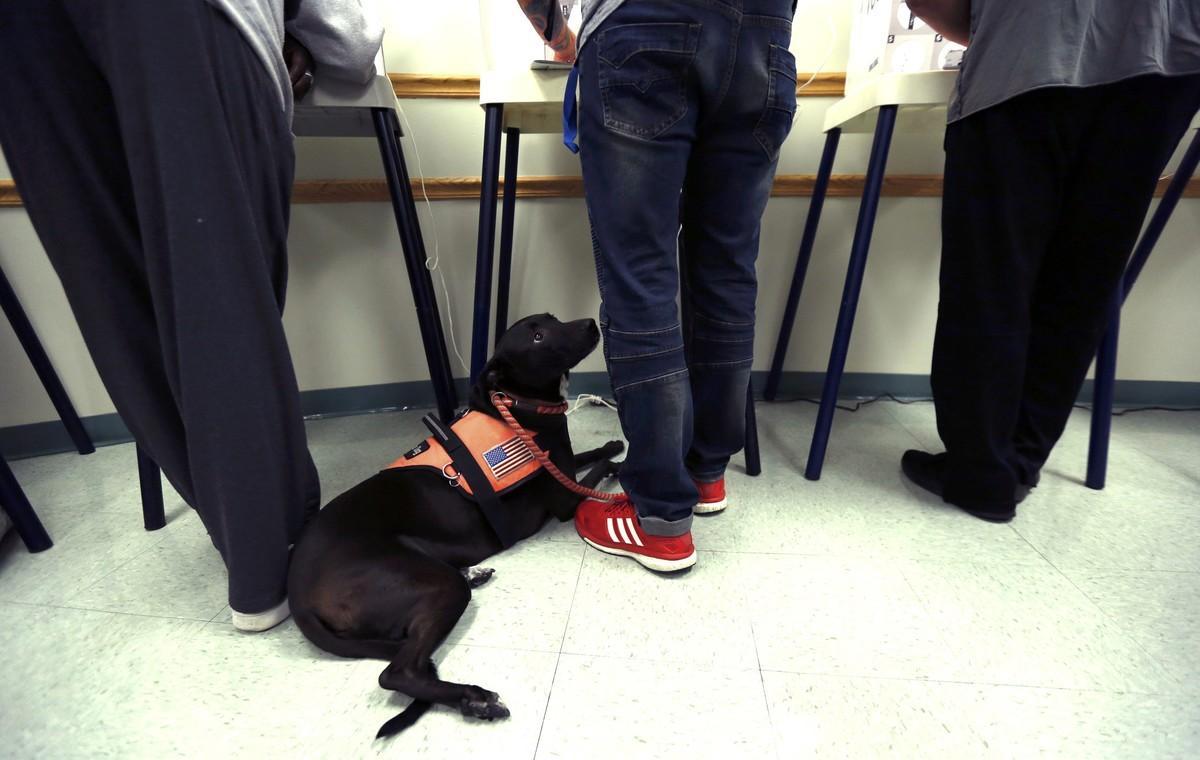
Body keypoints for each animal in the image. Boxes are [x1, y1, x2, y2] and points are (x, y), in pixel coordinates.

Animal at [288, 312, 619, 734]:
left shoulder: (561, 462)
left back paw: (473, 577)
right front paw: (623, 464)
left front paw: (613, 444)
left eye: (551, 320)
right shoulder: (564, 497)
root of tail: (295, 593)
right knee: (397, 673)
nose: (593, 324)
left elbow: (590, 454)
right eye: (538, 337)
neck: (518, 406)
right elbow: (600, 469)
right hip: (433, 587)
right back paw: (474, 699)